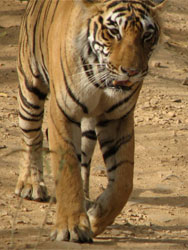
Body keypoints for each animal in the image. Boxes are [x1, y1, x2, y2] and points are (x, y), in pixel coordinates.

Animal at [16, 0, 167, 243]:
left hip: (86, 128)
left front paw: (95, 219)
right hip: (30, 88)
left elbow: (124, 182)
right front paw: (71, 227)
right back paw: (31, 184)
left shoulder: (117, 118)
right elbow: (68, 172)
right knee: (32, 136)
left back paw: (86, 200)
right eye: (114, 32)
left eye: (147, 36)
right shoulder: (63, 112)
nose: (132, 72)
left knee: (84, 160)